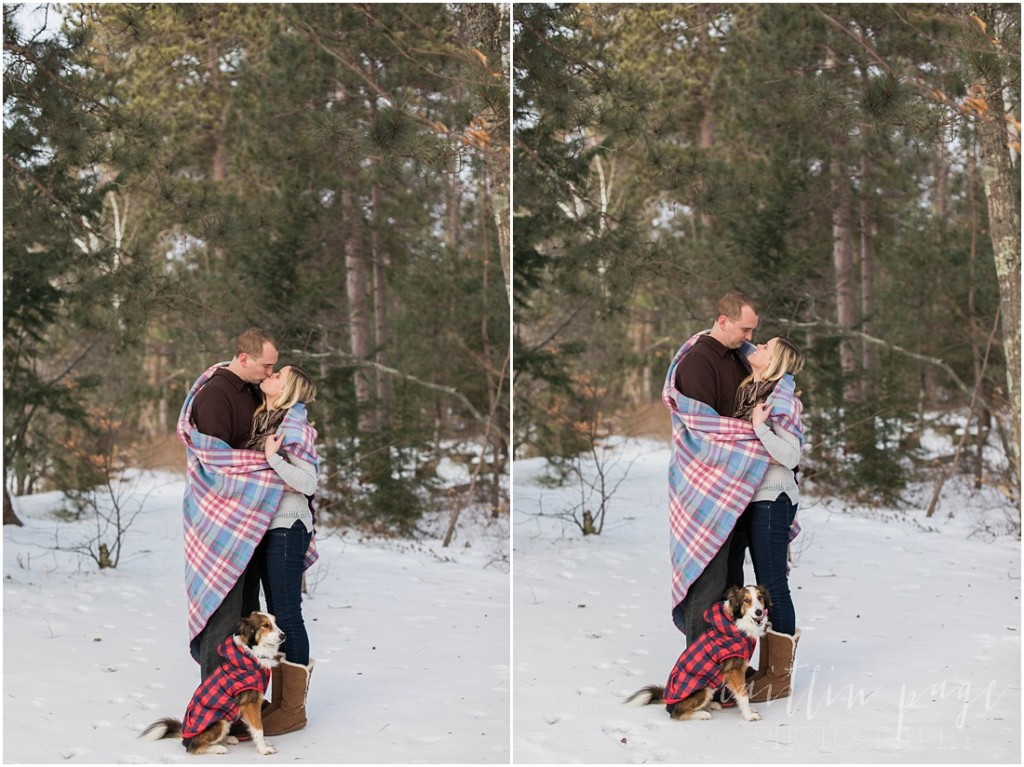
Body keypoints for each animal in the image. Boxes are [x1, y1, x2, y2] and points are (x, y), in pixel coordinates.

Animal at [138, 610, 284, 753]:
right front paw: (264, 749)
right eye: (265, 625)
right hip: (220, 722)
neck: (251, 655)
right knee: (194, 748)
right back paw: (218, 748)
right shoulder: (250, 703)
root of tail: (185, 737)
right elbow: (258, 728)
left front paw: (263, 744)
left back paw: (229, 738)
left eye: (275, 622)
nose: (283, 636)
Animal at [622, 581, 770, 720]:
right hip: (703, 689)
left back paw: (712, 704)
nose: (759, 612)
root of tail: (667, 701)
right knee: (677, 713)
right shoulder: (734, 670)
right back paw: (702, 714)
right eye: (746, 600)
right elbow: (743, 694)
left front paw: (749, 710)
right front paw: (749, 715)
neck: (736, 625)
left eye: (760, 597)